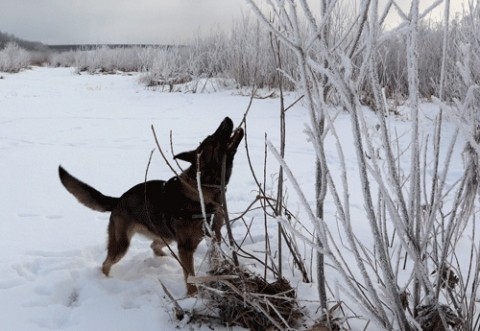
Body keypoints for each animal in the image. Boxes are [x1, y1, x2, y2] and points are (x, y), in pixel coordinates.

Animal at [58, 117, 244, 296]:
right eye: (213, 139)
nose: (227, 119)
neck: (202, 188)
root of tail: (119, 199)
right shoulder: (186, 248)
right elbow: (190, 279)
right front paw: (193, 297)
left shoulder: (214, 238)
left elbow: (215, 260)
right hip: (121, 245)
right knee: (106, 263)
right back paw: (105, 281)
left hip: (166, 235)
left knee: (154, 246)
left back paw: (167, 258)